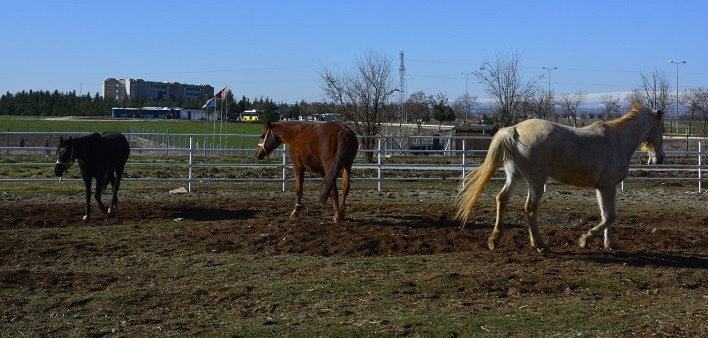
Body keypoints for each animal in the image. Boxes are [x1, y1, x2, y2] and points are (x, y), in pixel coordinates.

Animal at [456, 101, 668, 252]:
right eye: (662, 129)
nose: (660, 158)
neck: (618, 140)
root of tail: (513, 130)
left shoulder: (602, 188)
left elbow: (606, 215)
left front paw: (610, 244)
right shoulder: (608, 186)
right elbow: (610, 216)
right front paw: (584, 239)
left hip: (515, 176)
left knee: (502, 199)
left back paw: (495, 239)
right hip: (536, 181)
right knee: (530, 208)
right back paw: (540, 245)